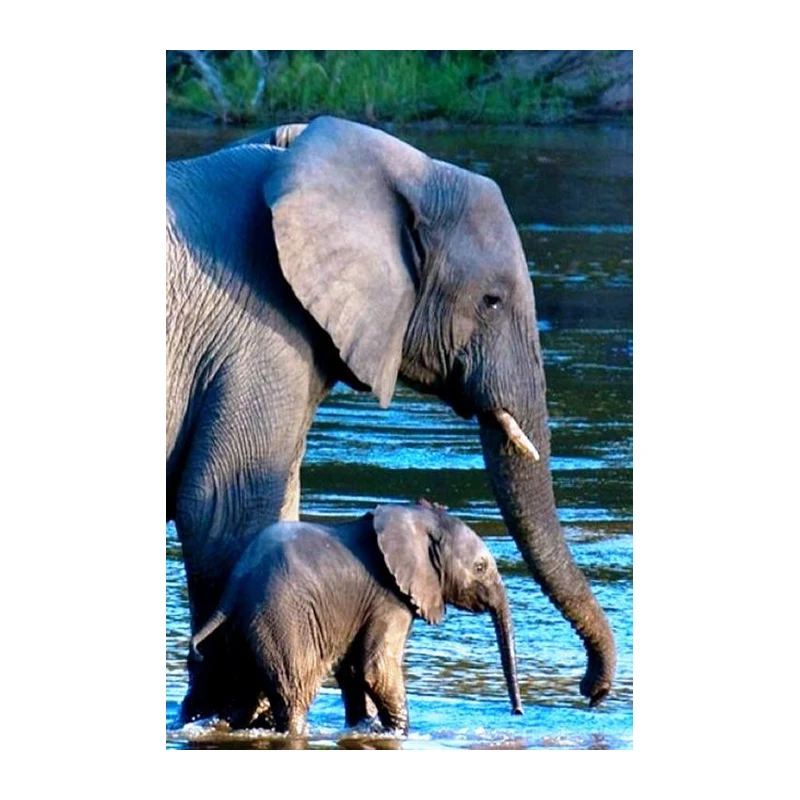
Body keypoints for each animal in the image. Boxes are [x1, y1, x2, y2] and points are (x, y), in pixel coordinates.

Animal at [188, 500, 523, 735]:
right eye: (480, 567)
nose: (517, 714)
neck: (415, 516)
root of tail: (233, 587)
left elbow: (352, 670)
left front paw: (363, 727)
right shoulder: (389, 598)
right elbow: (375, 669)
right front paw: (398, 732)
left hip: (244, 628)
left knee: (241, 696)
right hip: (281, 618)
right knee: (293, 692)